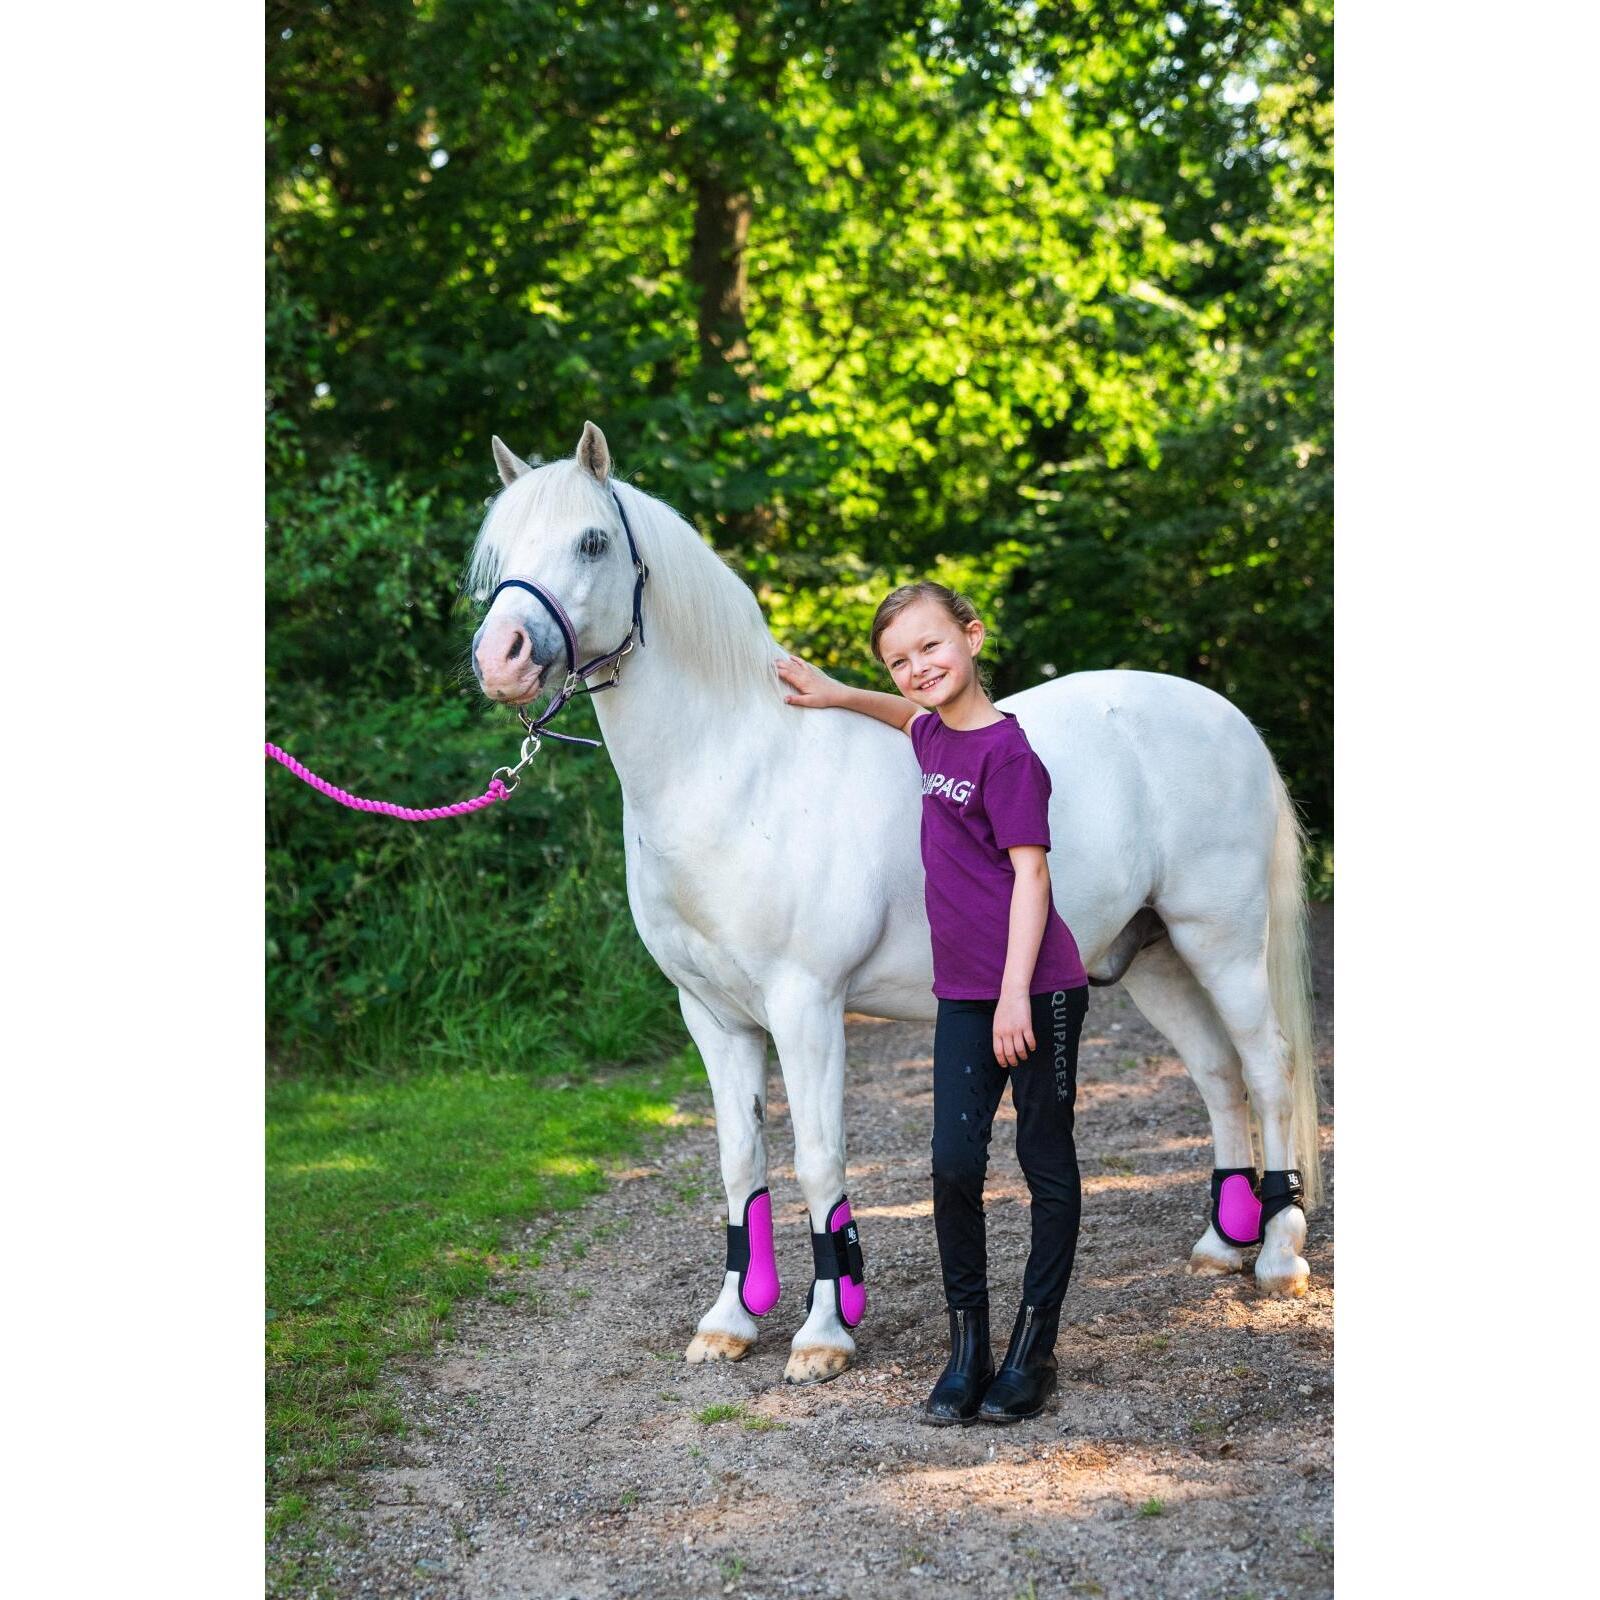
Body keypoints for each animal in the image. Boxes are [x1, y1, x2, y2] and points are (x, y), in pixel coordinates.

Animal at [469, 422, 1322, 1385]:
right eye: (499, 550)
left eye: (592, 542)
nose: (500, 658)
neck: (736, 771)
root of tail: (1226, 715)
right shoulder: (711, 1016)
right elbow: (737, 1162)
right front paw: (729, 1321)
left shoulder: (807, 1007)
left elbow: (817, 1159)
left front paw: (823, 1334)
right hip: (1151, 958)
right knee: (1217, 1075)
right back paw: (1221, 1244)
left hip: (1221, 942)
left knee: (1266, 1068)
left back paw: (1279, 1256)